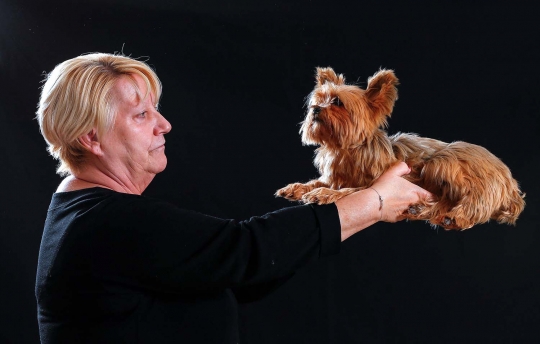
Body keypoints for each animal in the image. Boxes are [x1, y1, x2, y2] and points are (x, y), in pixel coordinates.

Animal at [276, 67, 524, 230]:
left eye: (337, 102)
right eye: (318, 100)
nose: (315, 109)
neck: (344, 149)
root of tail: (510, 183)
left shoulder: (377, 181)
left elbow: (354, 190)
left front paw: (325, 194)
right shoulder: (333, 176)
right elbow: (318, 181)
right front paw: (297, 187)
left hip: (445, 162)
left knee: (475, 201)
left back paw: (455, 216)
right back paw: (423, 210)